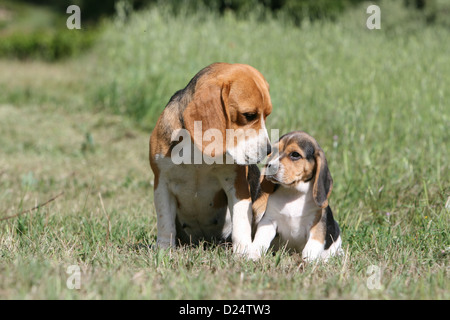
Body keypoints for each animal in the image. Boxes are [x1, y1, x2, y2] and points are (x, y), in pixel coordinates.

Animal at [149, 63, 272, 255]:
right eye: (249, 115)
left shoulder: (237, 184)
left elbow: (240, 221)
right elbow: (165, 223)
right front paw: (164, 249)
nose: (268, 150)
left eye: (267, 115)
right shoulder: (161, 183)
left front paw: (243, 252)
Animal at [250, 131, 342, 262]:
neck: (293, 192)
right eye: (274, 150)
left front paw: (307, 262)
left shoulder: (317, 227)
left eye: (295, 155)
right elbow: (260, 239)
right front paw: (253, 254)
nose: (270, 166)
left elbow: (311, 247)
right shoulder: (268, 221)